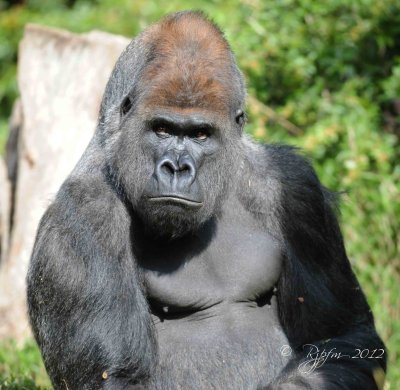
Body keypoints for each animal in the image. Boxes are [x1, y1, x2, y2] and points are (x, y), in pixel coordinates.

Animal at [26, 10, 386, 388]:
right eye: (162, 129)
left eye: (200, 134)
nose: (177, 168)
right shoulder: (82, 216)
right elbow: (116, 374)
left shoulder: (297, 190)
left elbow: (340, 333)